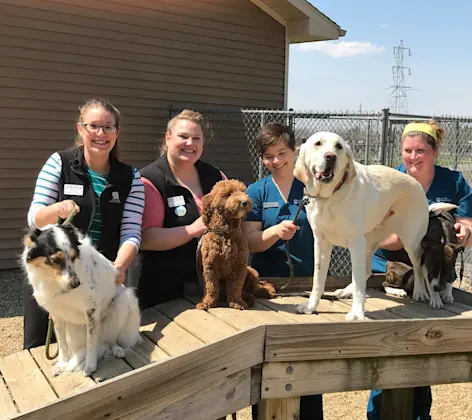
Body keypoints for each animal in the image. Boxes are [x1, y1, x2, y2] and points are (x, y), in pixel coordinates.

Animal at [22, 225, 140, 376]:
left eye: (73, 257)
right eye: (55, 260)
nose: (75, 283)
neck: (55, 283)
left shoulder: (92, 312)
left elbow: (91, 343)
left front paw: (90, 365)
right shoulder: (57, 315)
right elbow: (62, 344)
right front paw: (62, 364)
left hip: (124, 300)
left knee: (110, 338)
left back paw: (117, 349)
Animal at [196, 179, 276, 310]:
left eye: (243, 192)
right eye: (229, 193)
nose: (245, 202)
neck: (225, 233)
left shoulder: (239, 266)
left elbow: (235, 286)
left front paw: (237, 302)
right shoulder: (210, 266)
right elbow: (211, 286)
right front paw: (207, 302)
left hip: (251, 272)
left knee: (256, 288)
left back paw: (266, 292)